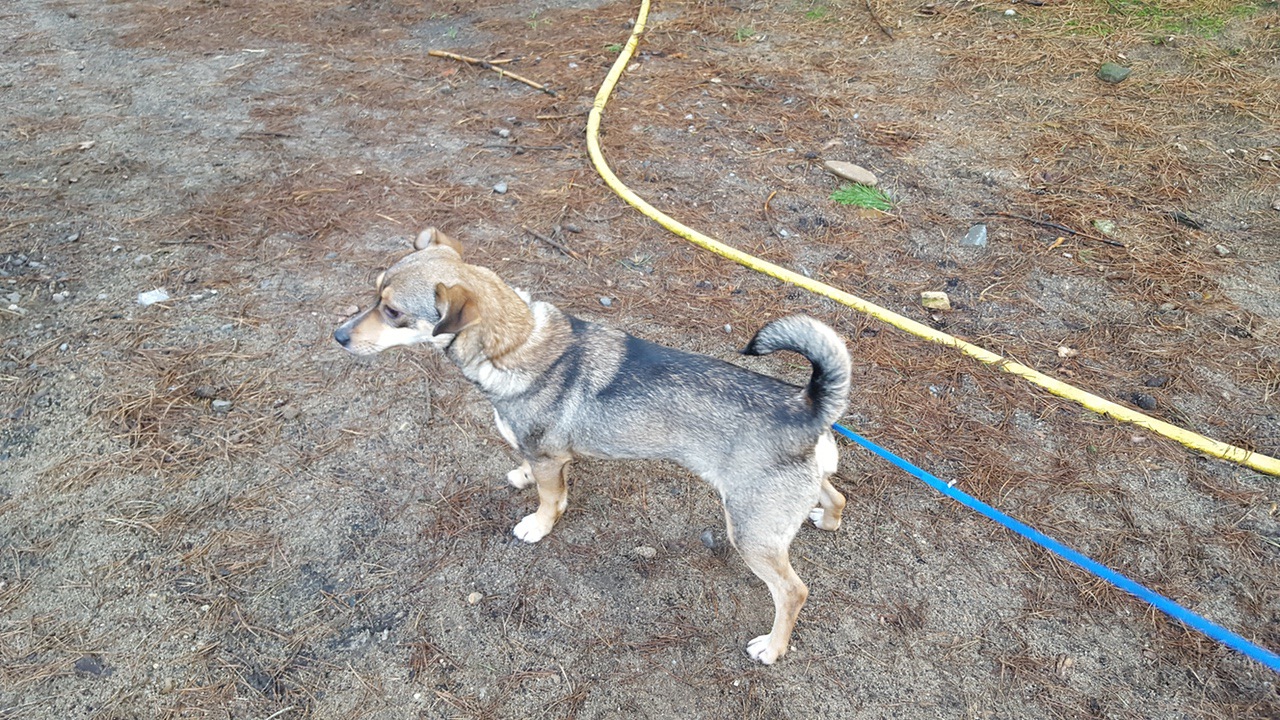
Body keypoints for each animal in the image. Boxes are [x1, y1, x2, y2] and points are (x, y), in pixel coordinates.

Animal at [334, 228, 852, 664]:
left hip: (749, 532)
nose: (338, 335)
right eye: (374, 294)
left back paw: (773, 647)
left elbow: (549, 499)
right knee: (837, 495)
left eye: (393, 312)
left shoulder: (550, 458)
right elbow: (528, 469)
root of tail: (807, 406)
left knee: (793, 592)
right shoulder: (540, 454)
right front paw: (520, 476)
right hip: (791, 500)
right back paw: (825, 519)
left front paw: (537, 526)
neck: (514, 344)